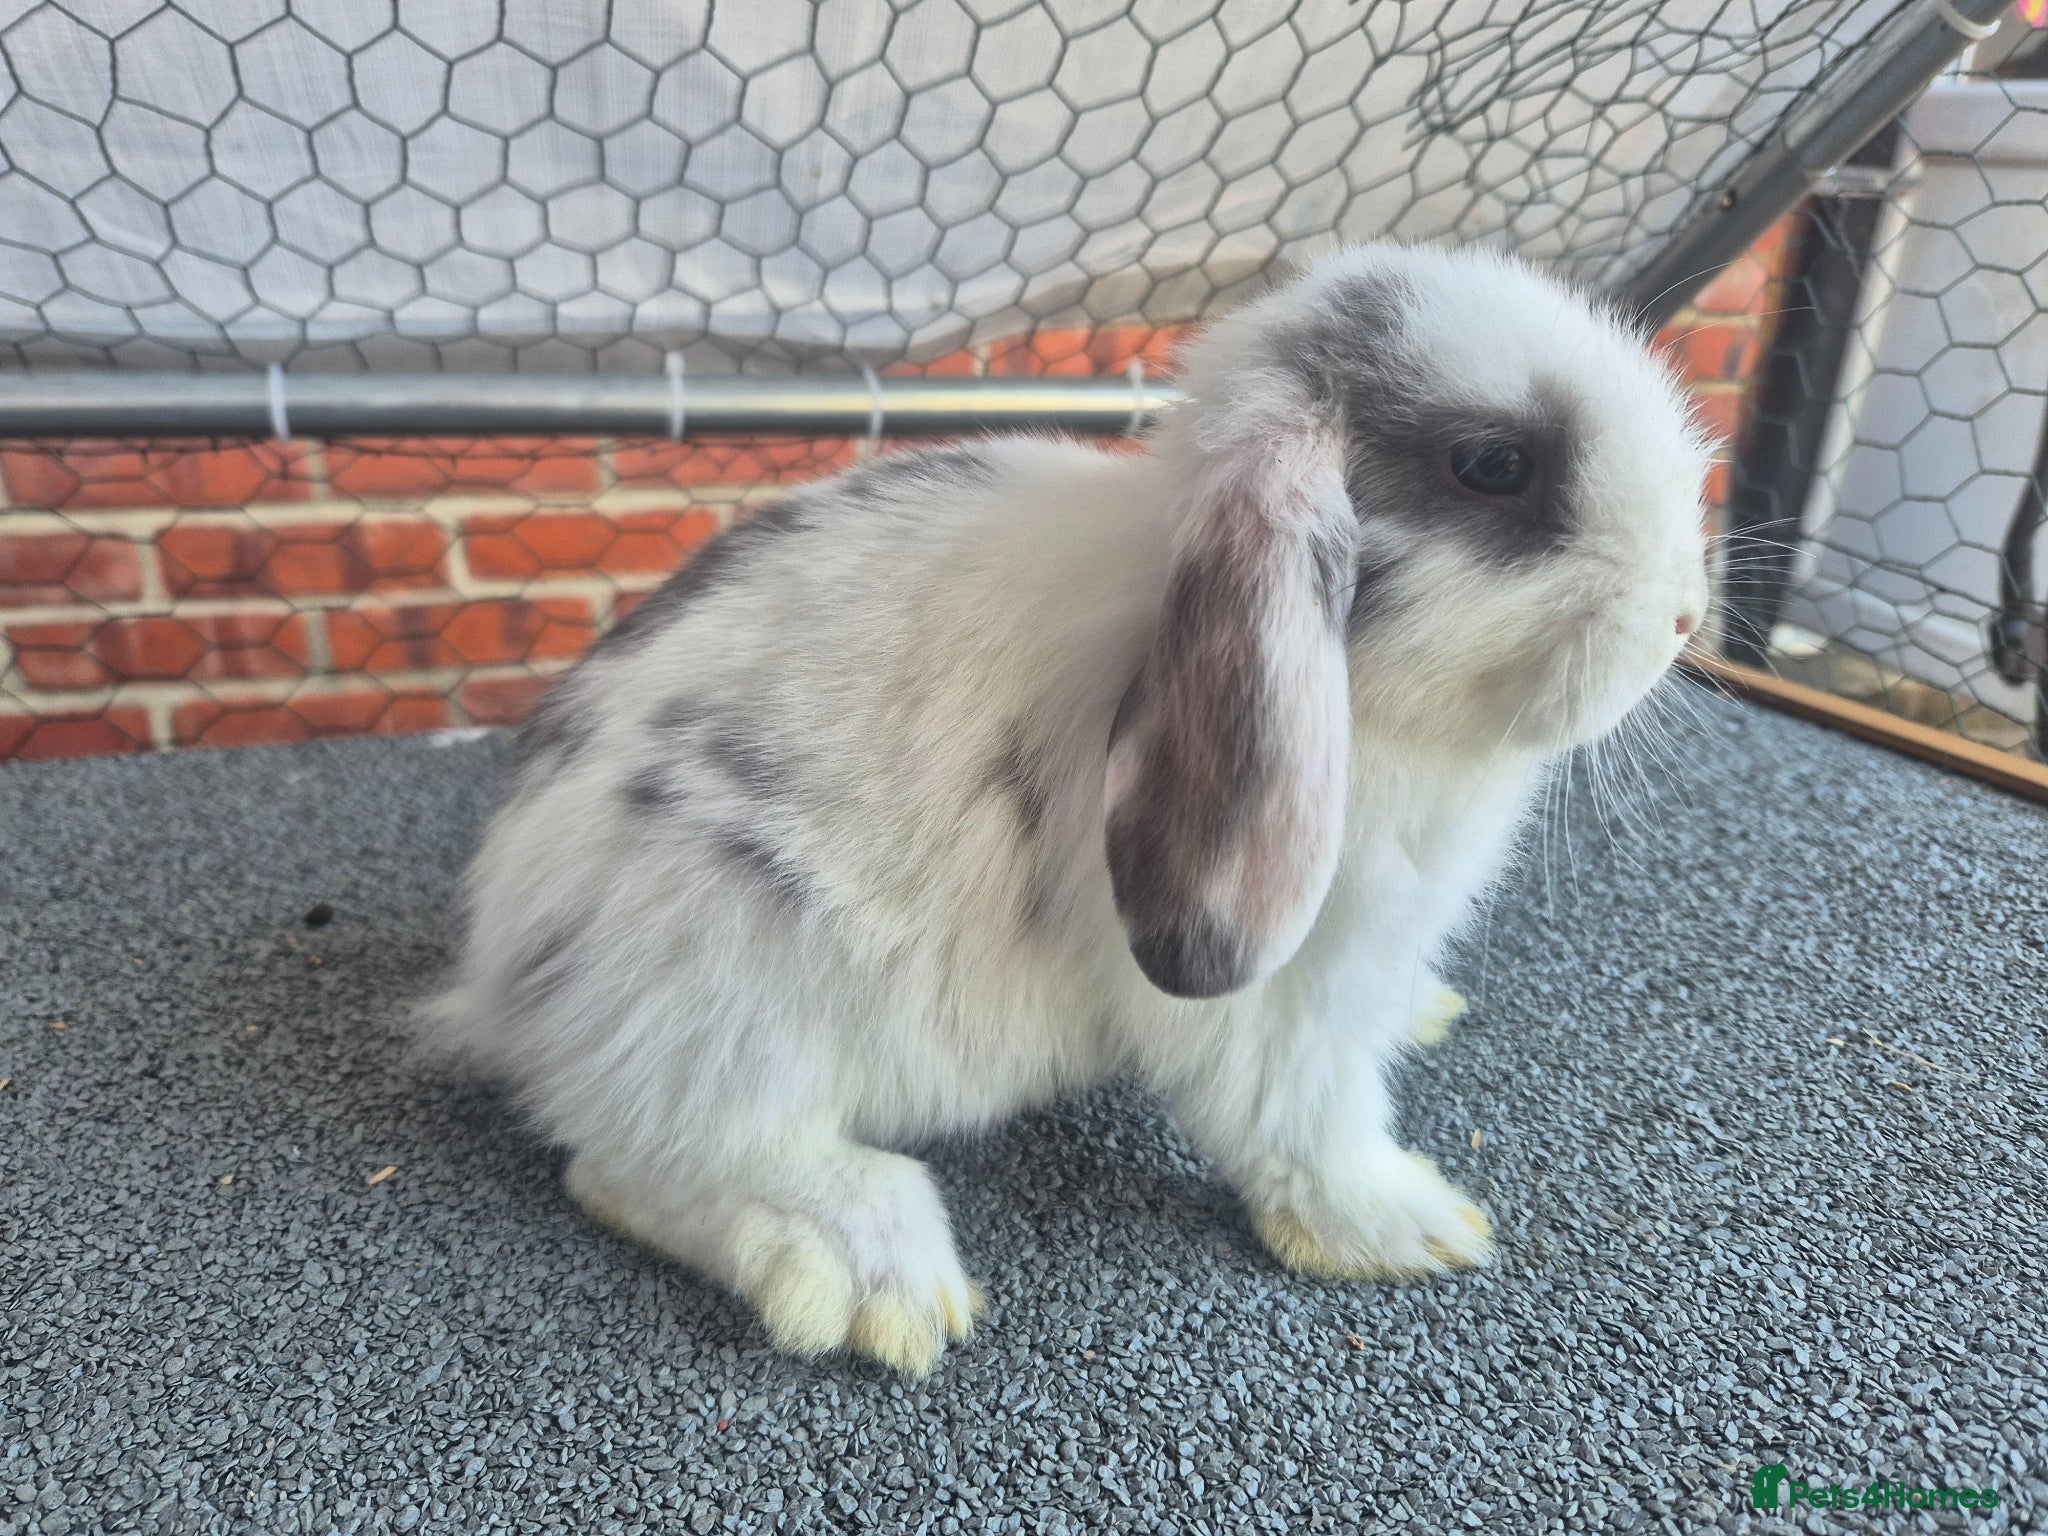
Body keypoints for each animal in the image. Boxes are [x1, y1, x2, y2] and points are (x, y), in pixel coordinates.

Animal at [420, 240, 1712, 1376]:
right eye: (1491, 464)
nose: (1687, 615)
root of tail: (502, 979)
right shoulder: (1273, 995)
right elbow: (1304, 1121)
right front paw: (1408, 1227)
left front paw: (1423, 1016)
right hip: (733, 969)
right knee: (642, 1157)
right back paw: (868, 1274)